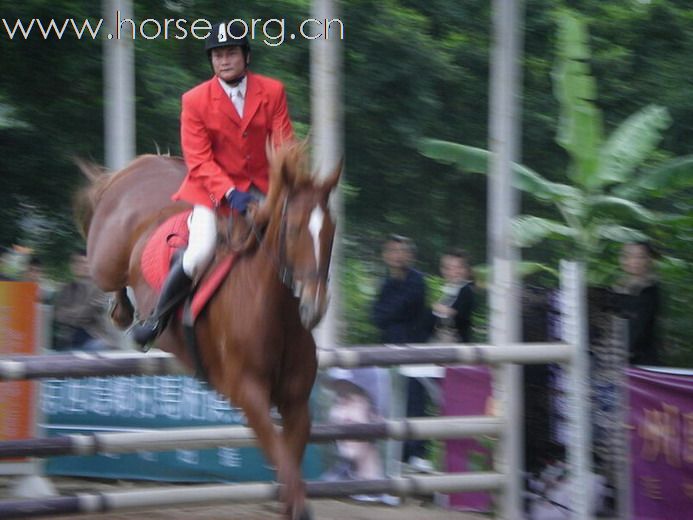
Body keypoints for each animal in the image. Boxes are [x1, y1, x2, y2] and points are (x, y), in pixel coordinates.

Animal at [73, 140, 340, 516]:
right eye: (294, 229)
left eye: (330, 232)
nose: (314, 307)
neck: (276, 311)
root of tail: (141, 166)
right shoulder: (249, 396)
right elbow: (286, 467)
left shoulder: (296, 404)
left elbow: (291, 466)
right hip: (106, 259)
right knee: (104, 267)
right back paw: (127, 316)